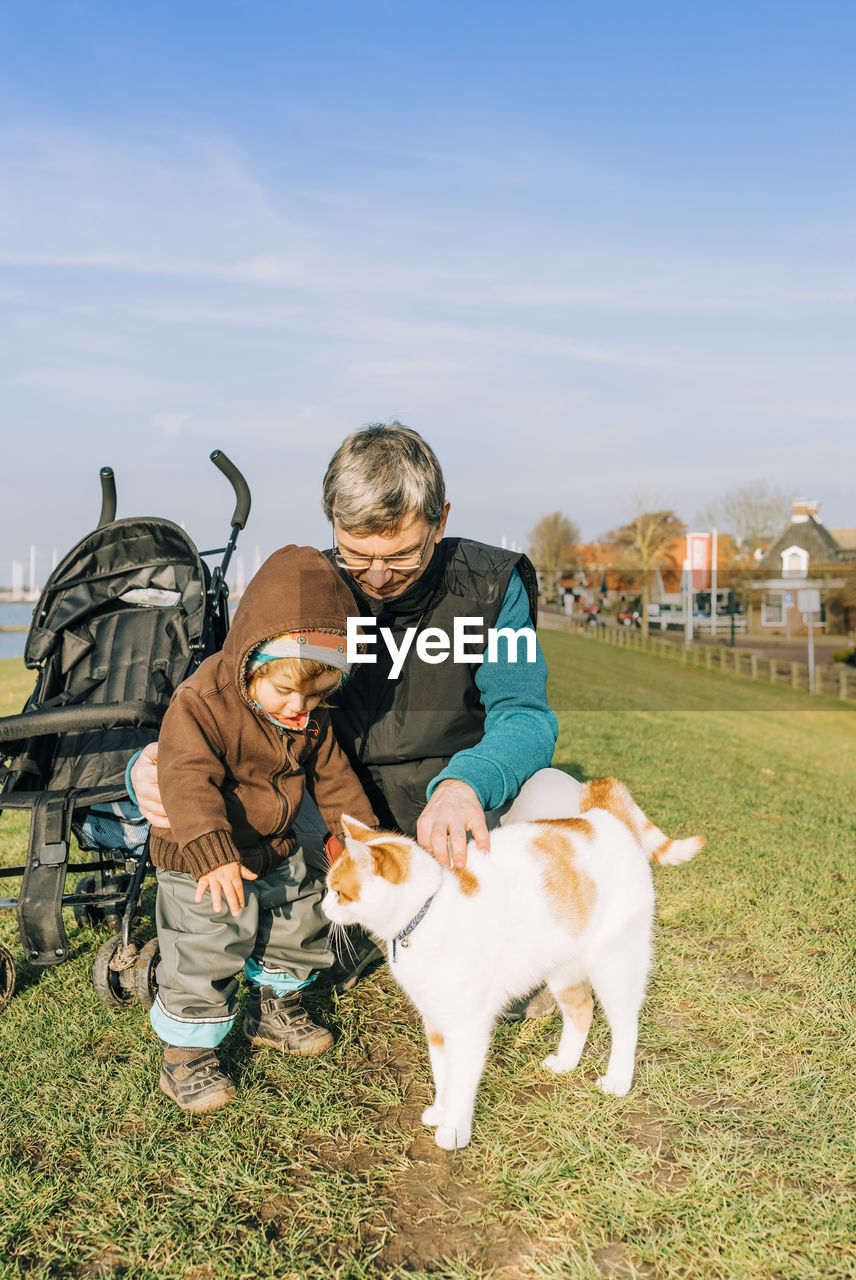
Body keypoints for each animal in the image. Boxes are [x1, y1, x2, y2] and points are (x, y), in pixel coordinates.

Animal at [319, 773, 701, 1157]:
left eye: (338, 892)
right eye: (328, 889)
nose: (322, 908)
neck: (426, 911)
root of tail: (598, 817)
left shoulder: (467, 1026)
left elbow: (461, 1081)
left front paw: (453, 1130)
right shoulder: (436, 1022)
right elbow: (443, 1074)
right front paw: (441, 1110)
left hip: (614, 962)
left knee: (626, 1024)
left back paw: (619, 1080)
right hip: (563, 968)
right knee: (582, 1011)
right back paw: (566, 1062)